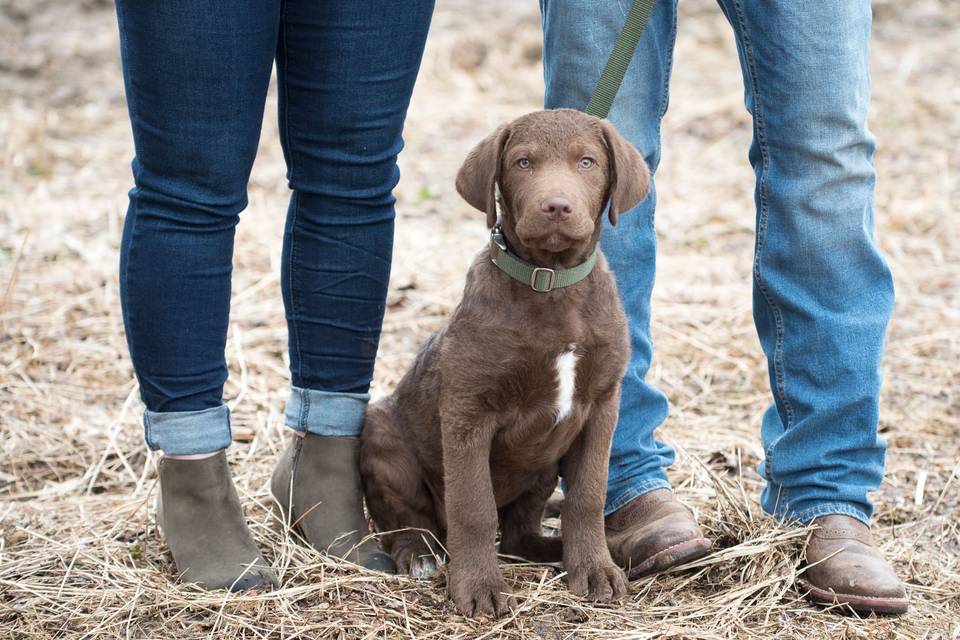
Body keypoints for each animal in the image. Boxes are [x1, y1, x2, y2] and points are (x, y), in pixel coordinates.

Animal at [362, 107, 652, 616]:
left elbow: (587, 496)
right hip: (380, 433)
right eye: (522, 163)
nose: (556, 206)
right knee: (410, 521)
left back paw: (555, 550)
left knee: (517, 535)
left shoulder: (602, 405)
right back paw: (419, 555)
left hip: (542, 466)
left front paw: (594, 569)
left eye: (587, 162)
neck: (552, 282)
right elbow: (472, 507)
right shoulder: (468, 412)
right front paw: (477, 587)